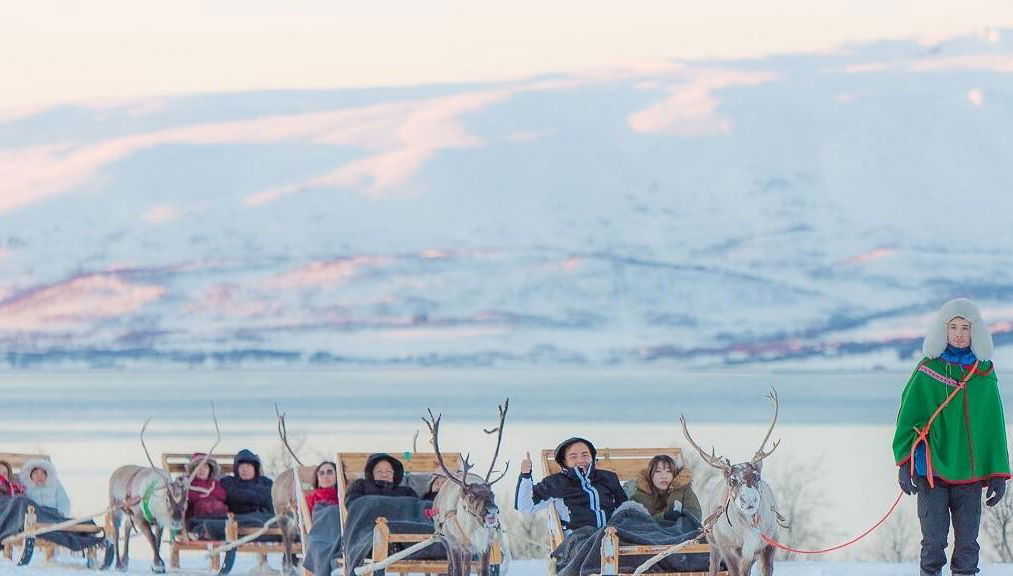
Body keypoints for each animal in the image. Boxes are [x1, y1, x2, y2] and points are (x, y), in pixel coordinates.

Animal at [109, 414, 220, 573]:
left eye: (186, 500)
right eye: (167, 498)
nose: (177, 521)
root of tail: (116, 471)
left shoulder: (158, 521)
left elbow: (158, 540)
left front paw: (157, 564)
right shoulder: (140, 517)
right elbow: (152, 538)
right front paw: (158, 564)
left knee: (127, 526)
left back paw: (125, 562)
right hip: (115, 507)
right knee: (116, 532)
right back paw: (118, 564)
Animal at [421, 398, 511, 576]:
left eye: (492, 493)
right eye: (471, 496)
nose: (492, 510)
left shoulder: (485, 546)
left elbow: (484, 571)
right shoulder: (455, 545)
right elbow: (456, 570)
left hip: (469, 550)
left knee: (468, 566)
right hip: (445, 540)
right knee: (451, 566)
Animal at [680, 388, 784, 576]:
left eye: (757, 476)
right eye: (731, 481)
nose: (749, 500)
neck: (750, 527)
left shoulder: (768, 545)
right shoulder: (729, 549)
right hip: (713, 543)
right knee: (713, 566)